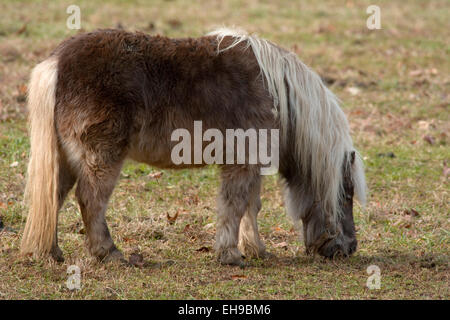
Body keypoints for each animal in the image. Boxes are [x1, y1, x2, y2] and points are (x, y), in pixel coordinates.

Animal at [21, 28, 366, 266]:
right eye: (346, 196)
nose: (348, 248)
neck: (277, 94)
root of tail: (56, 63)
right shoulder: (242, 162)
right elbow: (234, 205)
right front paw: (230, 254)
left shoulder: (251, 161)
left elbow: (250, 207)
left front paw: (255, 250)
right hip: (101, 158)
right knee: (90, 200)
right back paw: (110, 253)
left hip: (66, 160)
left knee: (53, 197)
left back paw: (50, 253)